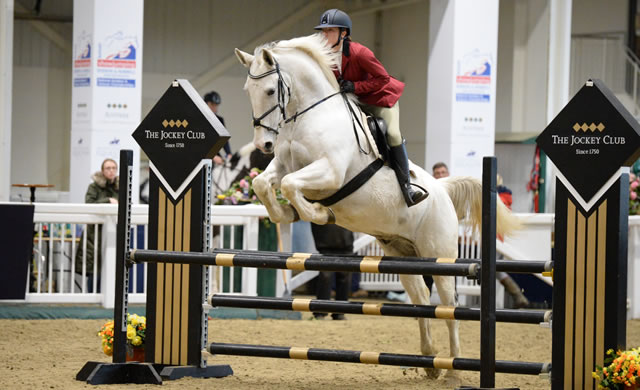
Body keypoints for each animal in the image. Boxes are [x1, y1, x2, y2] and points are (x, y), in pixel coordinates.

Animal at [235, 34, 520, 380]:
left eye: (268, 91)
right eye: (247, 91)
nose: (263, 144)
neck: (310, 115)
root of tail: (443, 190)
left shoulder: (330, 171)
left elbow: (290, 185)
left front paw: (320, 212)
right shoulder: (283, 166)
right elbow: (263, 184)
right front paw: (287, 213)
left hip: (441, 254)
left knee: (448, 304)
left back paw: (453, 370)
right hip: (403, 256)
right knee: (421, 297)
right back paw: (430, 361)